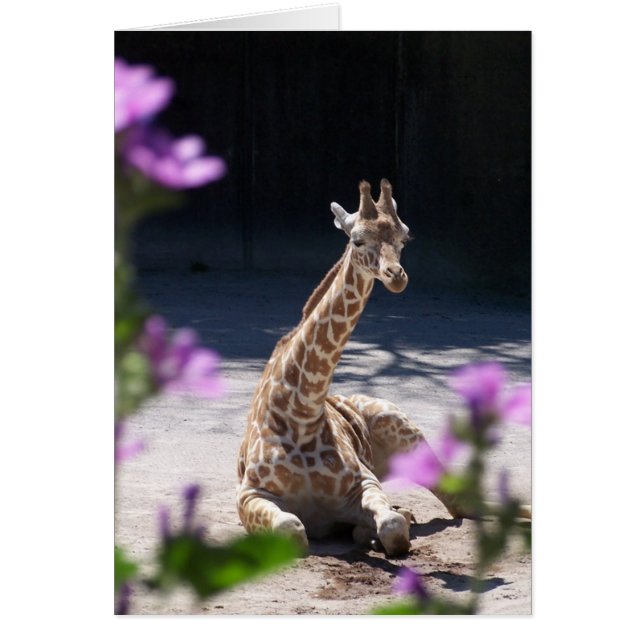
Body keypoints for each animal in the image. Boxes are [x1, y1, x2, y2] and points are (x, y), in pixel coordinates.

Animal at [236, 179, 463, 557]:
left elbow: (392, 525)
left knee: (461, 503)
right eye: (357, 240)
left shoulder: (365, 483)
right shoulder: (249, 494)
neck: (301, 413)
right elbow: (291, 529)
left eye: (404, 238)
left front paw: (381, 529)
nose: (396, 275)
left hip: (406, 431)